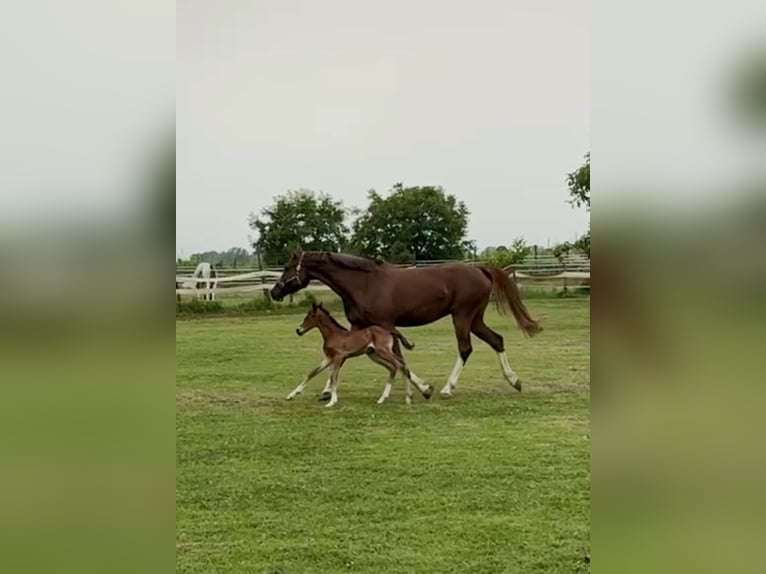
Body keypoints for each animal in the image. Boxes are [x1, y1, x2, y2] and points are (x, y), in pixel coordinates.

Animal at [286, 304, 436, 408]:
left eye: (310, 316)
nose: (298, 330)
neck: (334, 335)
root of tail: (390, 331)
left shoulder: (338, 358)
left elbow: (333, 378)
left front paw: (332, 402)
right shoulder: (329, 358)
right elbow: (312, 373)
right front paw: (291, 395)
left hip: (383, 352)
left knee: (400, 365)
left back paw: (408, 397)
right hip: (374, 355)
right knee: (395, 367)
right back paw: (383, 399)